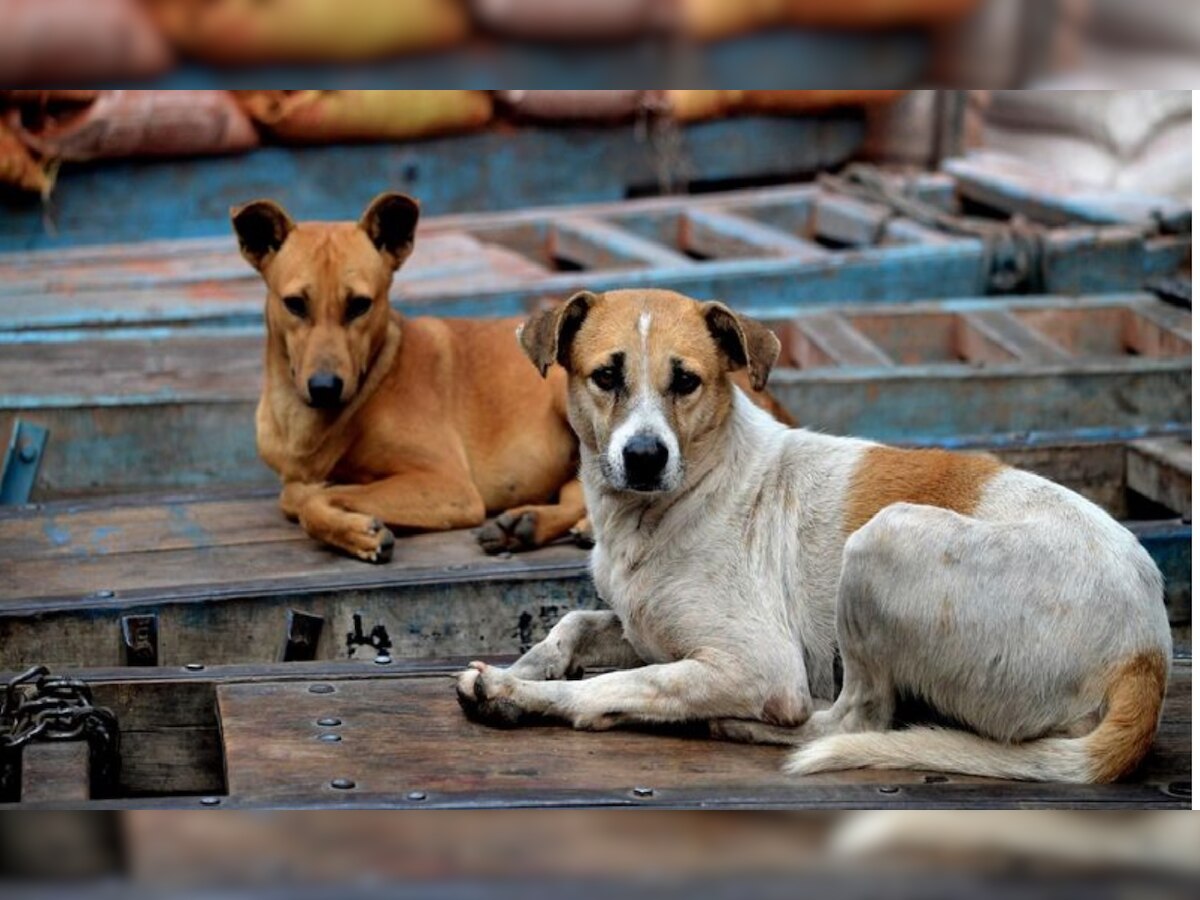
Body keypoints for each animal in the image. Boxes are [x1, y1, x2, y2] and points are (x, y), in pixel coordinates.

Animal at [232, 194, 792, 564]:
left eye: (360, 305)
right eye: (295, 304)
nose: (325, 387)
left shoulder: (448, 486)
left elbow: (306, 499)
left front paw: (359, 529)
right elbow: (298, 492)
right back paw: (527, 524)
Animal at [456, 289, 1171, 782]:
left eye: (685, 381)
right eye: (607, 376)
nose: (645, 457)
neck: (668, 506)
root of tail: (1149, 653)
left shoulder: (759, 664)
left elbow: (615, 686)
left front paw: (520, 694)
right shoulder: (646, 628)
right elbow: (576, 622)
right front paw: (531, 663)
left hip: (884, 540)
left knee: (850, 718)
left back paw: (737, 725)